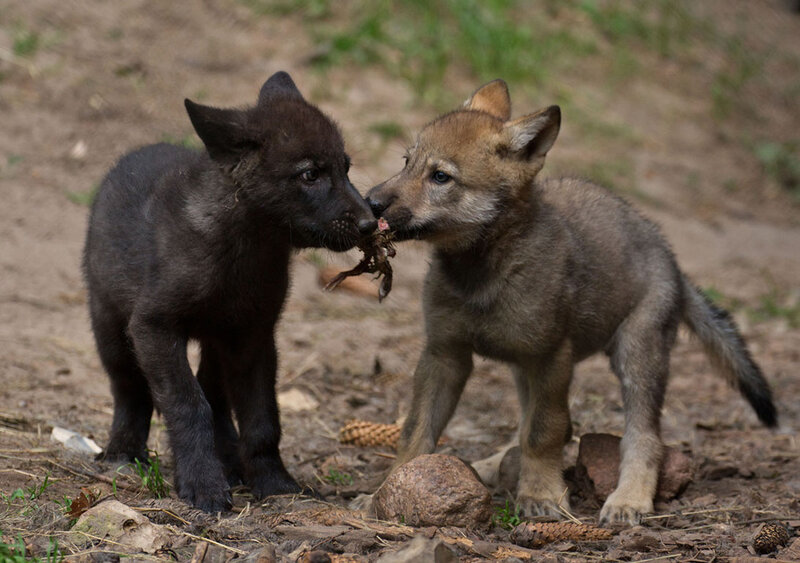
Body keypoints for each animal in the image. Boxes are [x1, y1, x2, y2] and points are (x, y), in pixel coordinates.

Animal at [83, 71, 376, 512]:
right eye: (310, 174)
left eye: (346, 168)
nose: (371, 224)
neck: (246, 250)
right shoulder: (153, 327)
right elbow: (188, 405)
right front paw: (202, 484)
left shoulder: (253, 336)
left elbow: (261, 420)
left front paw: (274, 482)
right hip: (112, 329)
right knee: (130, 390)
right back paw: (123, 453)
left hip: (217, 341)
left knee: (216, 396)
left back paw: (231, 463)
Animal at [365, 79, 776, 525]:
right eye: (406, 161)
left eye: (440, 176)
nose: (370, 202)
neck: (482, 274)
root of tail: (673, 260)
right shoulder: (445, 354)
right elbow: (416, 431)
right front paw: (385, 492)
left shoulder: (551, 358)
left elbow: (542, 433)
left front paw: (542, 495)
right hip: (523, 367)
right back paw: (495, 465)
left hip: (636, 356)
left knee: (644, 437)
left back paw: (628, 500)